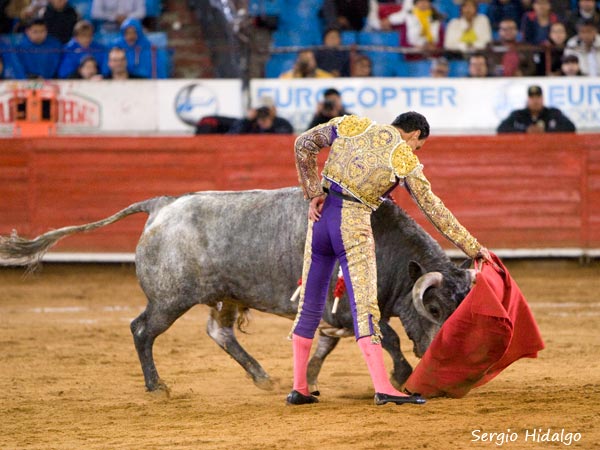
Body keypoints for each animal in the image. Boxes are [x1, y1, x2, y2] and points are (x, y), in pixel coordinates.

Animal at [0, 187, 474, 395]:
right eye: (433, 307)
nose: (445, 356)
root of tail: (160, 205)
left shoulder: (331, 314)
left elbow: (325, 347)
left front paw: (308, 381)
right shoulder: (349, 305)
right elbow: (388, 336)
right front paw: (403, 375)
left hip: (224, 295)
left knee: (218, 333)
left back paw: (262, 377)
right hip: (169, 300)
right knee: (141, 330)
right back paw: (157, 386)